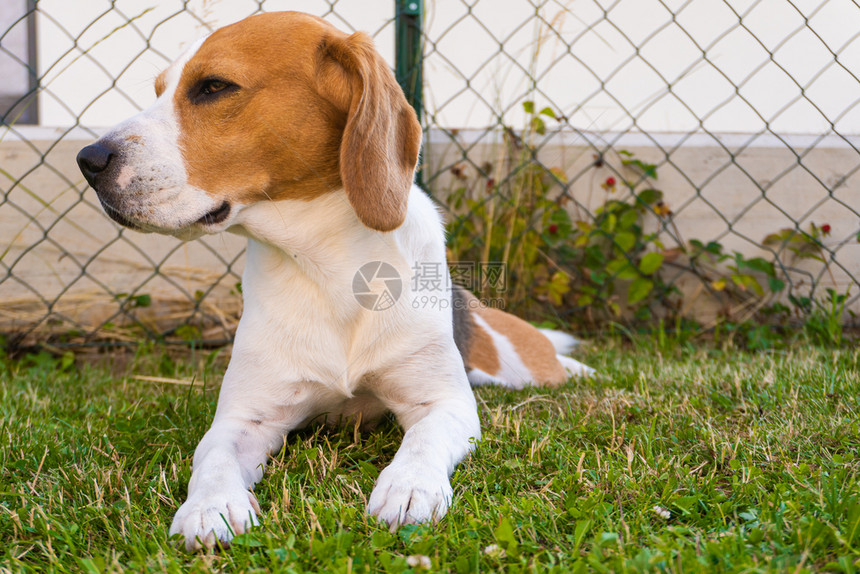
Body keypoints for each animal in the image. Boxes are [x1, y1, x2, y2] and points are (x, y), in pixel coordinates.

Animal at [75, 11, 592, 552]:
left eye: (213, 86)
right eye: (159, 89)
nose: (88, 160)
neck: (328, 267)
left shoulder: (444, 405)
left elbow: (422, 441)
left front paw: (409, 487)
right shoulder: (244, 419)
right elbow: (212, 460)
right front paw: (209, 508)